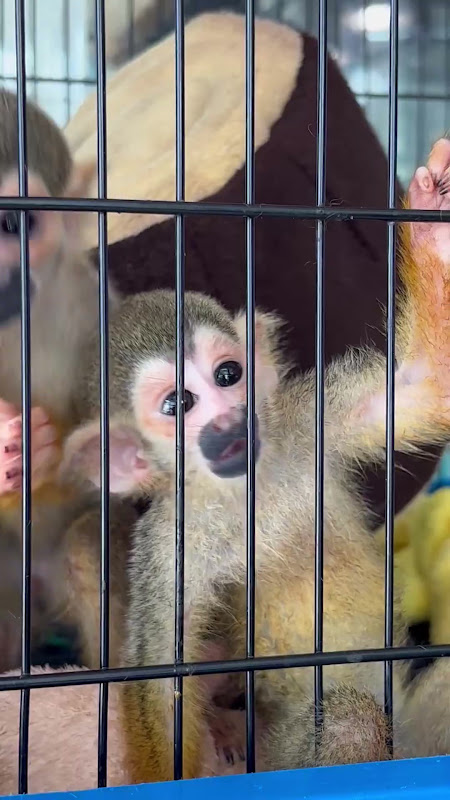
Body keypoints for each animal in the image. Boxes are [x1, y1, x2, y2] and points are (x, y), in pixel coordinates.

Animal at [62, 136, 450, 781]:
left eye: (227, 375)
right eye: (178, 404)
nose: (230, 421)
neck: (245, 489)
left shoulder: (307, 419)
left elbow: (422, 388)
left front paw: (432, 219)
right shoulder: (169, 543)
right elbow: (159, 680)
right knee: (348, 723)